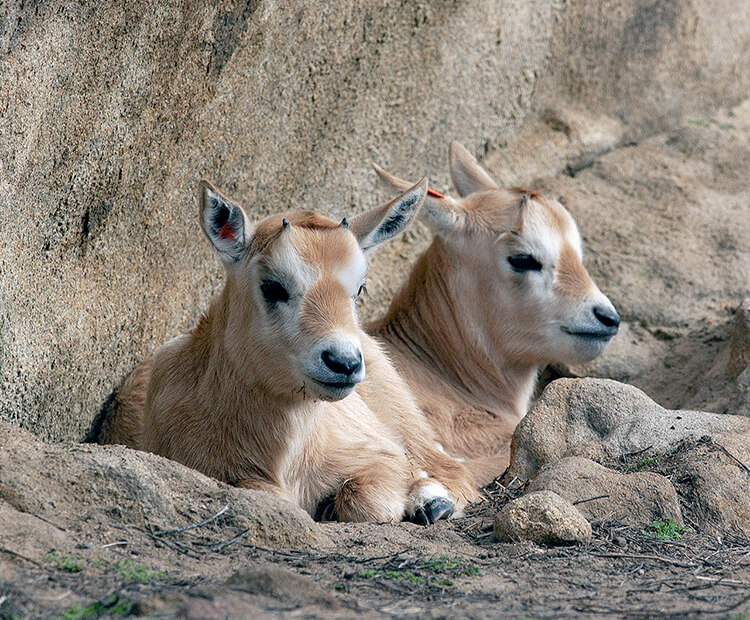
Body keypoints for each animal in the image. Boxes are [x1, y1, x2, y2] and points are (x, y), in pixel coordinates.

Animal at [98, 178, 482, 524]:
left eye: (359, 287)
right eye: (272, 286)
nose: (343, 363)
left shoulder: (379, 453)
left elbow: (369, 496)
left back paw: (433, 502)